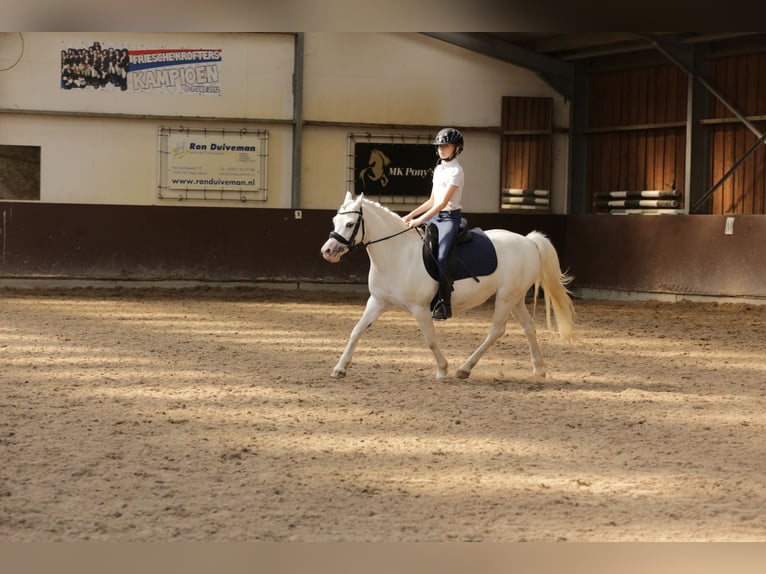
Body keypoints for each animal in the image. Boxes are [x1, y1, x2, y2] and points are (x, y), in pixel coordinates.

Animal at [320, 194, 576, 382]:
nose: (328, 250)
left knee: (497, 330)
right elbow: (356, 331)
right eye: (334, 221)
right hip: (515, 297)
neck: (397, 254)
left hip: (505, 297)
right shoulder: (377, 302)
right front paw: (340, 368)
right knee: (528, 327)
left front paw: (442, 370)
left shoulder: (420, 308)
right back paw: (539, 368)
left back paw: (464, 368)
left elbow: (430, 339)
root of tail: (528, 241)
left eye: (350, 223)